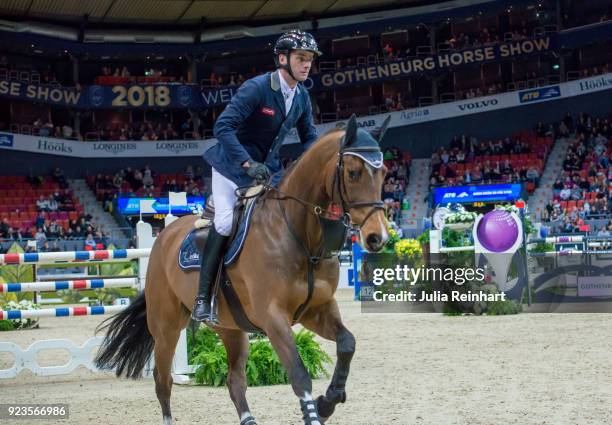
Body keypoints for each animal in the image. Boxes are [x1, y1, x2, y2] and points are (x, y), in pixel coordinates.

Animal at [97, 113, 392, 424]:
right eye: (353, 173)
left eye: (384, 172)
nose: (378, 237)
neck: (299, 235)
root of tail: (164, 235)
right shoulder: (273, 316)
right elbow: (299, 375)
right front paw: (315, 412)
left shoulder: (316, 310)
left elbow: (347, 344)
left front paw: (327, 402)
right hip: (166, 325)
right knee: (162, 380)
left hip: (230, 327)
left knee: (234, 379)